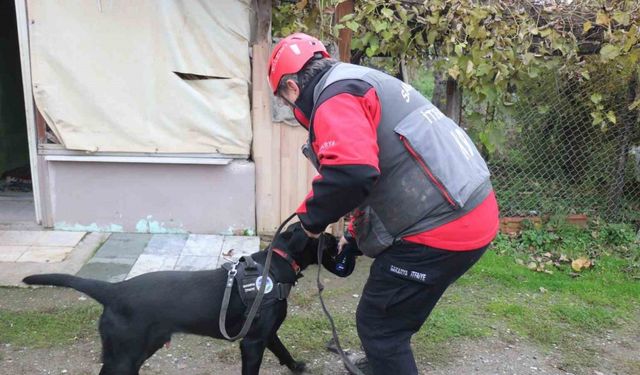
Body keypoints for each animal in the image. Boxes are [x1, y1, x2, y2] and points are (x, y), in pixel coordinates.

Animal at [22, 225, 338, 374]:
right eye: (327, 239)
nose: (340, 241)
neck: (276, 263)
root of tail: (114, 290)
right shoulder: (252, 342)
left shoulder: (266, 333)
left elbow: (283, 351)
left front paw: (297, 367)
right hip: (125, 356)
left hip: (137, 351)